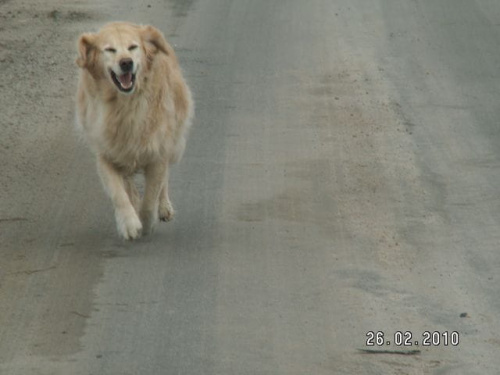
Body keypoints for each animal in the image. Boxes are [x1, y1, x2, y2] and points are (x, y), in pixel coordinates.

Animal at [75, 22, 193, 241]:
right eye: (109, 49)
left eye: (133, 47)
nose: (126, 63)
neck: (124, 106)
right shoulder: (106, 155)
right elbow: (119, 194)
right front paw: (129, 223)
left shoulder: (157, 154)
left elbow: (151, 198)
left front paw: (147, 223)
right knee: (129, 184)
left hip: (173, 142)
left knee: (164, 181)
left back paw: (164, 208)